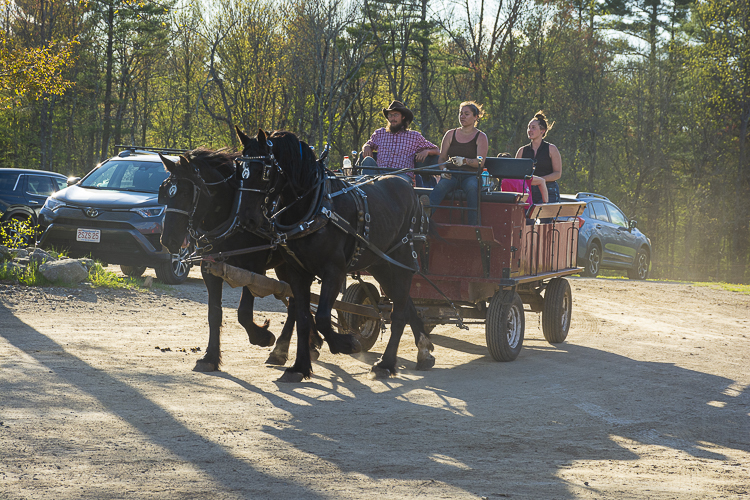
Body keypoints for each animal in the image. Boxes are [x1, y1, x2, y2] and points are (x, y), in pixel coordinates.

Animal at [157, 147, 322, 371]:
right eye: (165, 192)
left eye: (184, 193)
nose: (168, 240)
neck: (231, 217)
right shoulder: (210, 269)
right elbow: (214, 314)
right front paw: (210, 357)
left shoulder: (254, 269)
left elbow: (244, 312)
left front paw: (263, 336)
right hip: (284, 267)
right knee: (295, 301)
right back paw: (310, 343)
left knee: (296, 304)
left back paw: (280, 350)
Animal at [234, 127, 435, 382]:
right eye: (240, 171)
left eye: (264, 171)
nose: (246, 218)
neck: (313, 207)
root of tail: (409, 187)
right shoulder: (297, 273)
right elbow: (303, 318)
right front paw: (300, 366)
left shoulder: (334, 271)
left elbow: (321, 317)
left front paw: (347, 343)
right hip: (380, 264)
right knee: (405, 303)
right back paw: (424, 351)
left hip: (403, 261)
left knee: (399, 312)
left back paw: (387, 363)